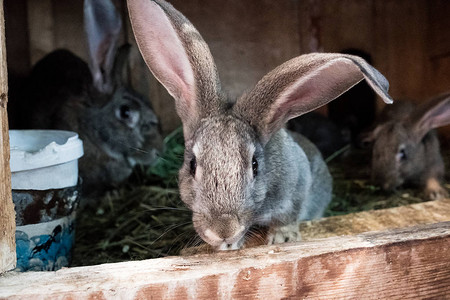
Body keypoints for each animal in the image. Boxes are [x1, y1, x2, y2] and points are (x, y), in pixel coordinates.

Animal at [127, 0, 394, 250]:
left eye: (255, 166)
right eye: (192, 165)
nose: (223, 230)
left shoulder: (297, 186)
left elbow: (289, 215)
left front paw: (283, 237)